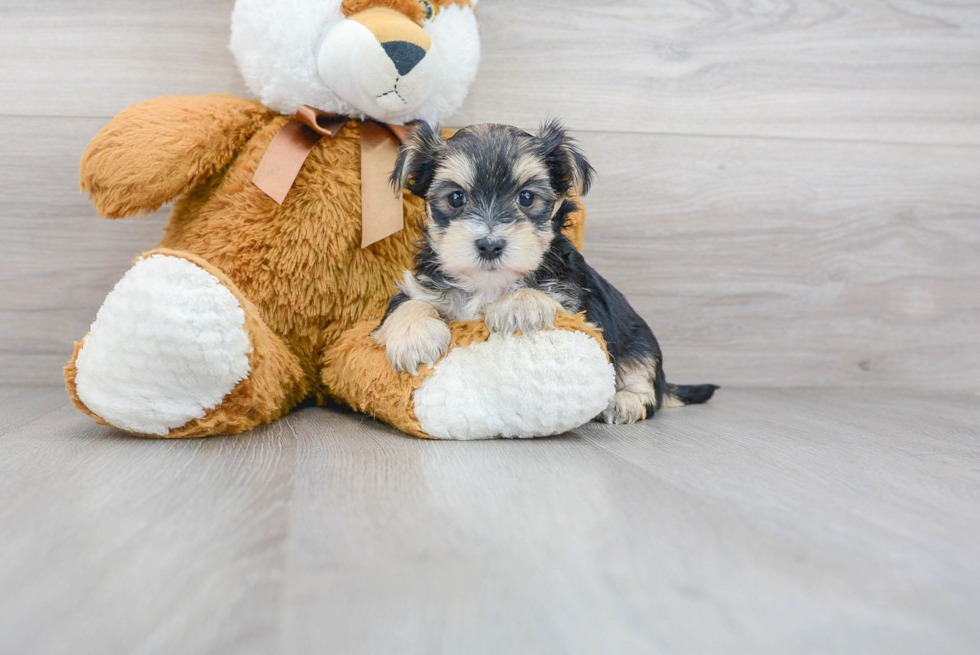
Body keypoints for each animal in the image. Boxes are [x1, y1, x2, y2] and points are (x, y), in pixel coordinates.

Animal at [372, 121, 716, 426]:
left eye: (526, 197)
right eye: (456, 197)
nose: (490, 244)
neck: (490, 284)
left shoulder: (575, 297)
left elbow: (547, 294)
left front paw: (518, 306)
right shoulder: (423, 284)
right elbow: (409, 302)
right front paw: (415, 337)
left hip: (640, 342)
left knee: (645, 380)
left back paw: (624, 401)